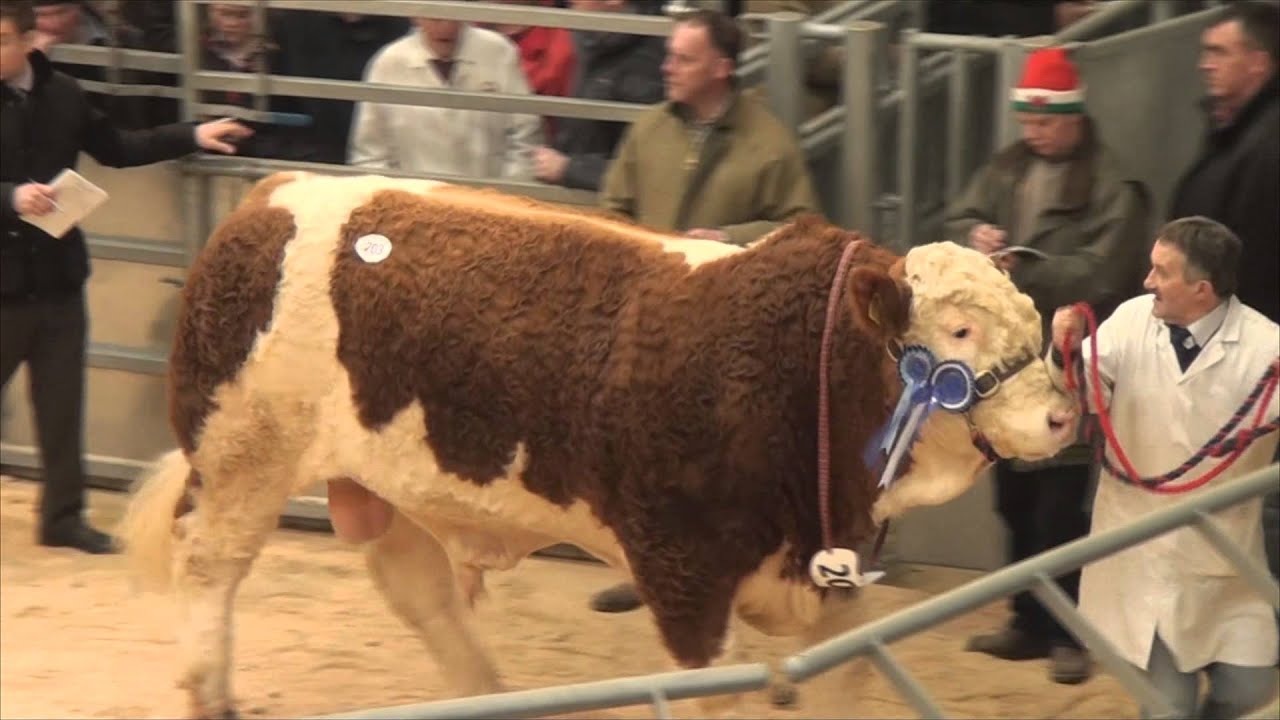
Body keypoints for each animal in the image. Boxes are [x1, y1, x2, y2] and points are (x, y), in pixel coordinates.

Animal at [117, 171, 1079, 719]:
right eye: (959, 330)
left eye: (1033, 319)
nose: (1064, 415)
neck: (797, 360)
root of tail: (262, 199)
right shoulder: (685, 576)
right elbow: (709, 692)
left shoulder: (826, 576)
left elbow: (848, 682)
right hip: (242, 456)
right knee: (210, 573)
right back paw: (210, 695)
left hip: (390, 488)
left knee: (424, 597)